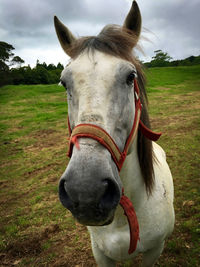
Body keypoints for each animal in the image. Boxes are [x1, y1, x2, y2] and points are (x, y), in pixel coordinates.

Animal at [54, 1, 174, 266]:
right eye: (64, 82)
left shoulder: (156, 249)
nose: (85, 191)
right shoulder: (100, 253)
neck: (120, 220)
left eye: (130, 77)